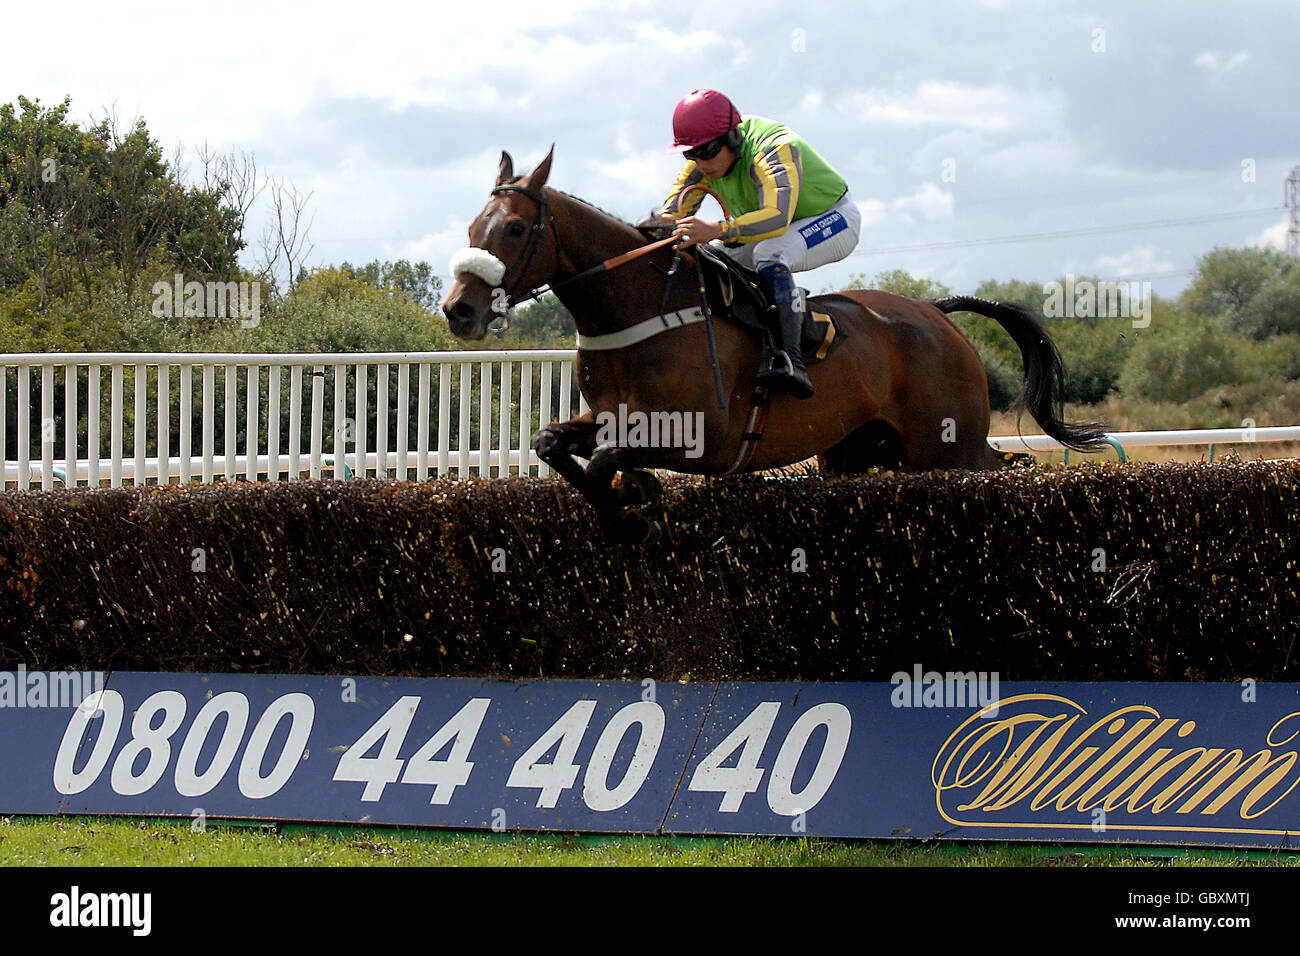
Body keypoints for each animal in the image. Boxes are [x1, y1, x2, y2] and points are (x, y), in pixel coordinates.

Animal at [444, 147, 1107, 538]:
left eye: (515, 228)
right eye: (473, 226)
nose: (458, 310)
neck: (641, 306)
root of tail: (936, 314)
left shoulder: (701, 436)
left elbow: (609, 458)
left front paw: (635, 498)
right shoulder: (613, 415)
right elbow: (551, 442)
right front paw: (632, 500)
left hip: (948, 446)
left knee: (1010, 468)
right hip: (858, 452)